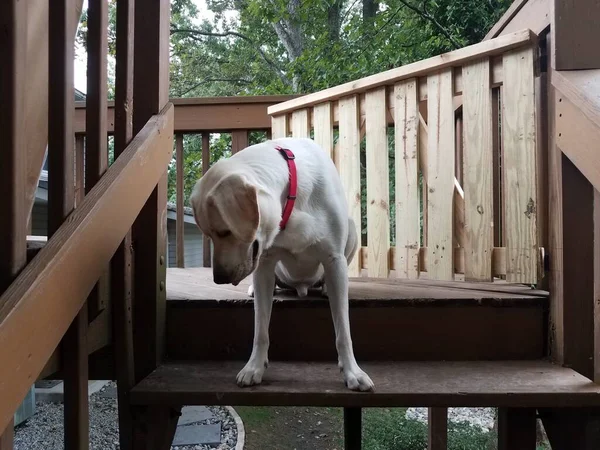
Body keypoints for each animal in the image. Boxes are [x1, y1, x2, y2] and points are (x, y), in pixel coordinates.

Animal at [190, 136, 372, 390]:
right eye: (209, 235)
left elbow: (343, 332)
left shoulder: (334, 259)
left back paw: (326, 287)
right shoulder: (264, 264)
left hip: (352, 230)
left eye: (224, 232)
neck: (291, 198)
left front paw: (352, 372)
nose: (219, 279)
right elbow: (260, 329)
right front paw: (254, 367)